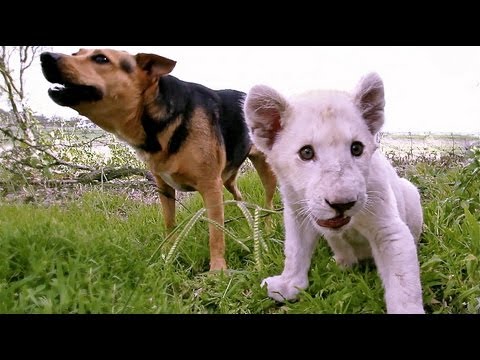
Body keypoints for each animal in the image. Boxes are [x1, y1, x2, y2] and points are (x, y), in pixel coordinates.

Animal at [41, 48, 278, 270]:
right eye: (75, 53)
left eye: (101, 58)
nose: (45, 57)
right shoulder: (165, 188)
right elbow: (169, 224)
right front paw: (167, 257)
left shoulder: (210, 186)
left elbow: (215, 233)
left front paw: (217, 269)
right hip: (227, 178)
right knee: (239, 195)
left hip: (266, 173)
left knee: (269, 204)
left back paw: (267, 229)